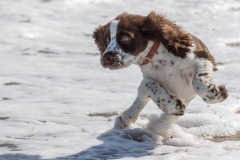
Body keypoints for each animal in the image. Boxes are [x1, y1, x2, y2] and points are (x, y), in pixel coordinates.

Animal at [92, 11, 227, 138]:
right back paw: (129, 119)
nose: (106, 57)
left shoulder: (202, 58)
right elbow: (151, 86)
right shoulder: (147, 77)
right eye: (106, 40)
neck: (158, 60)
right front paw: (173, 105)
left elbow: (198, 82)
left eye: (125, 38)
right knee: (142, 99)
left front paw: (218, 94)